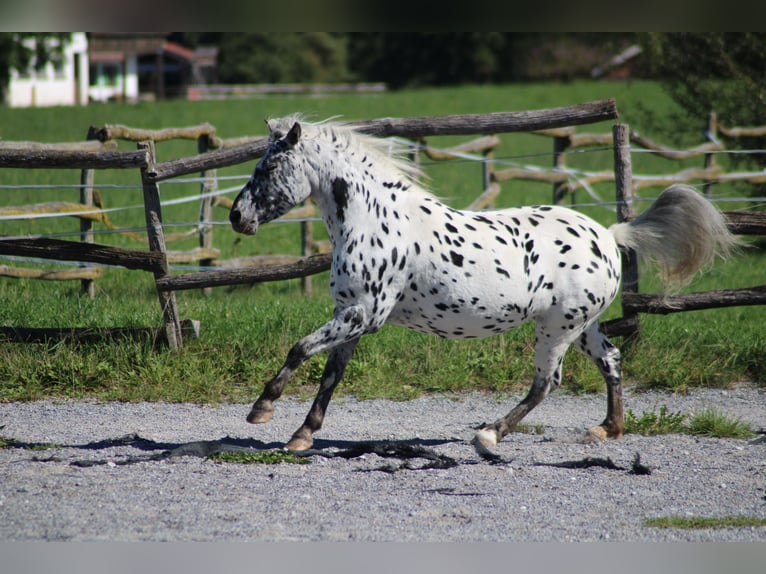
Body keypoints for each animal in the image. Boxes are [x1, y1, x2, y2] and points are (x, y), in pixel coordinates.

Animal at [229, 114, 736, 452]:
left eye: (268, 168)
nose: (236, 216)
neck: (374, 219)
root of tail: (610, 236)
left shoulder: (364, 315)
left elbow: (299, 348)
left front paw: (261, 410)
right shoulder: (350, 317)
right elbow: (330, 375)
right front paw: (302, 435)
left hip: (556, 329)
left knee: (546, 382)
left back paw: (489, 434)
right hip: (581, 325)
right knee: (610, 360)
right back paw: (607, 429)